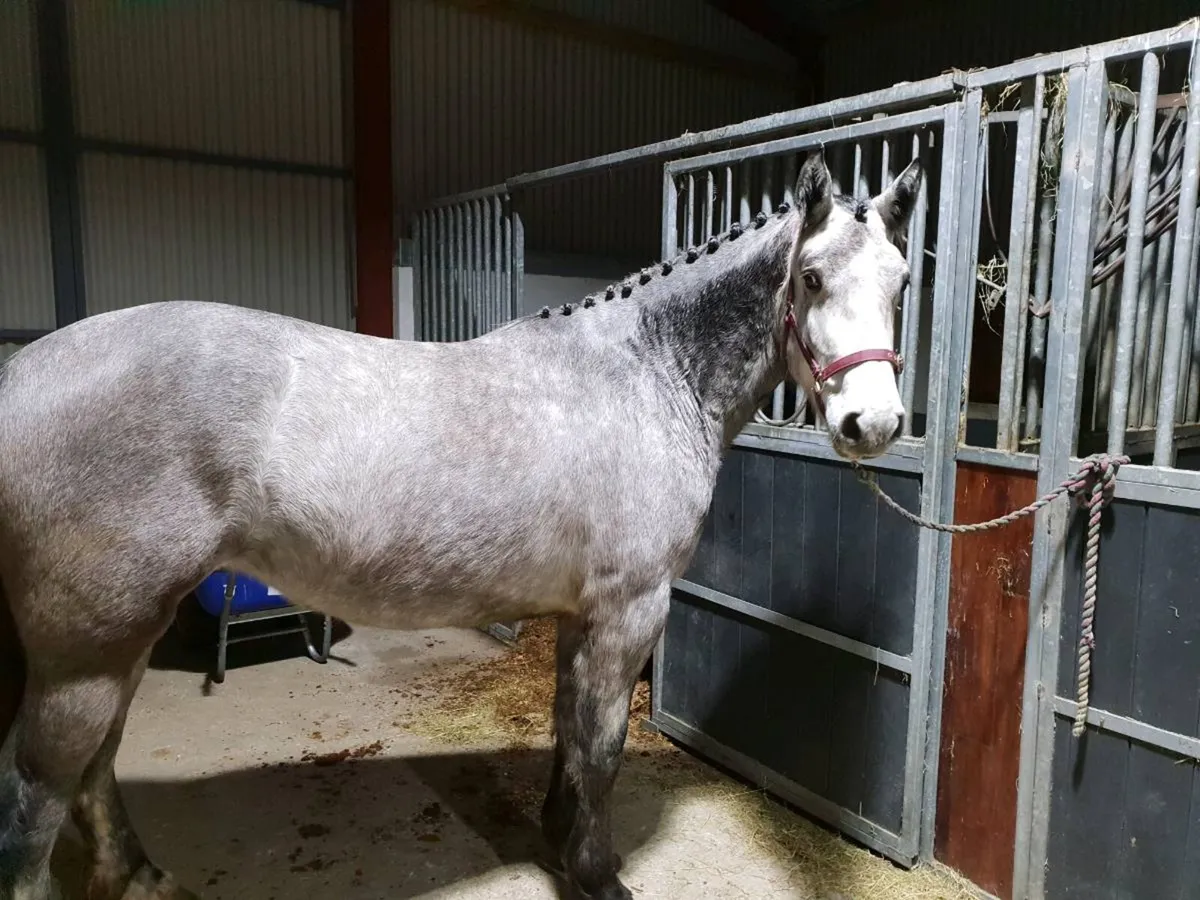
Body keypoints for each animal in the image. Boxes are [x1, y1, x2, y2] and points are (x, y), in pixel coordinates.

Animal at [0, 150, 921, 900]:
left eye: (903, 282)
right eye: (810, 278)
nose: (871, 424)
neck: (646, 372)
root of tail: (21, 372)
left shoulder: (580, 613)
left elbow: (567, 728)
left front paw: (557, 838)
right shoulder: (629, 610)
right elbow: (604, 746)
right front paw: (597, 875)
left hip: (122, 637)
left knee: (97, 765)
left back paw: (140, 876)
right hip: (85, 654)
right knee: (39, 790)